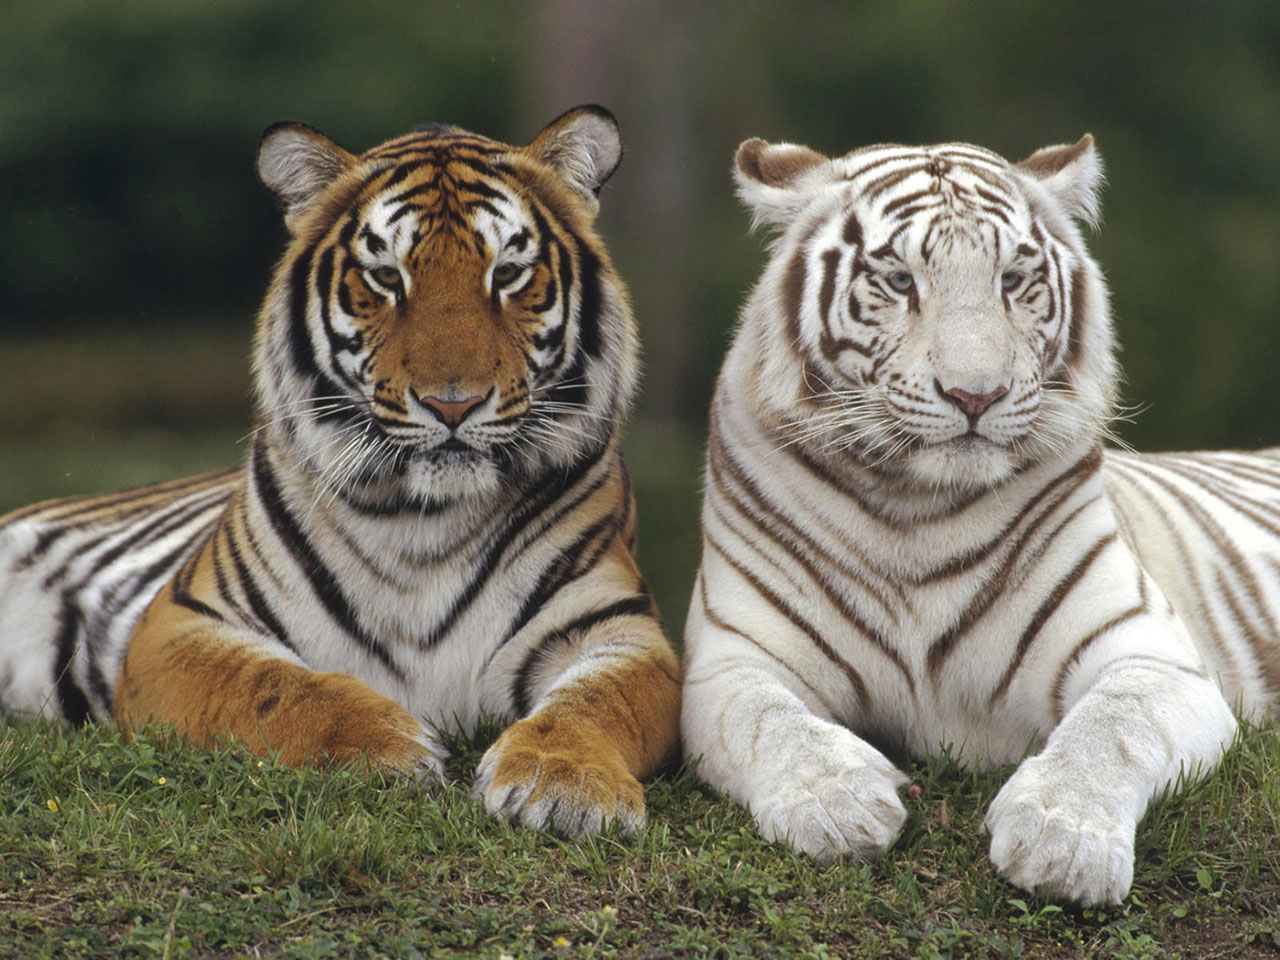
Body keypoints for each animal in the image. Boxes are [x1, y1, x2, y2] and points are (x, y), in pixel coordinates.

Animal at [0, 105, 681, 836]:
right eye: (385, 276)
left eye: (508, 274)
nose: (453, 404)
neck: (425, 521)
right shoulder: (182, 624)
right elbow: (274, 686)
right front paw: (385, 744)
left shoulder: (619, 629)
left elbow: (597, 702)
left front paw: (566, 782)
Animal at [681, 132, 1279, 906]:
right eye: (899, 281)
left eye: (1014, 280)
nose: (976, 395)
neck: (916, 509)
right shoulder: (732, 659)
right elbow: (767, 721)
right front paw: (837, 803)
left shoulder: (1151, 654)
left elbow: (1112, 726)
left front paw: (1062, 841)